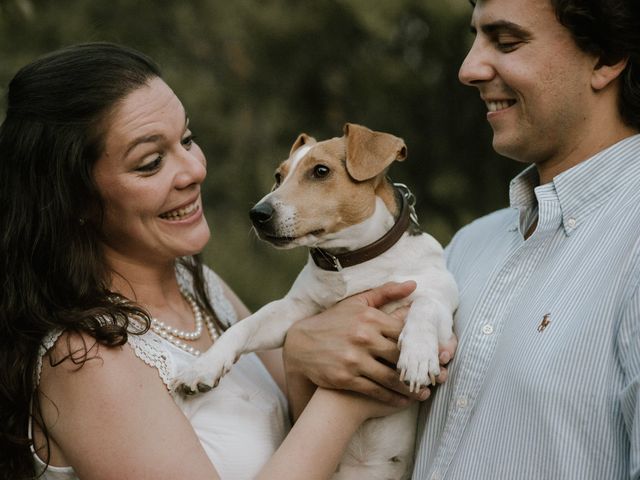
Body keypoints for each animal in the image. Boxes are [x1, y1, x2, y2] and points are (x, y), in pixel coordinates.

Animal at [172, 124, 458, 480]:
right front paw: (204, 366)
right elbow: (243, 326)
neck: (350, 263)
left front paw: (418, 356)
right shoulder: (291, 312)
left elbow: (425, 306)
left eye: (321, 171)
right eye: (278, 176)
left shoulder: (443, 310)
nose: (258, 214)